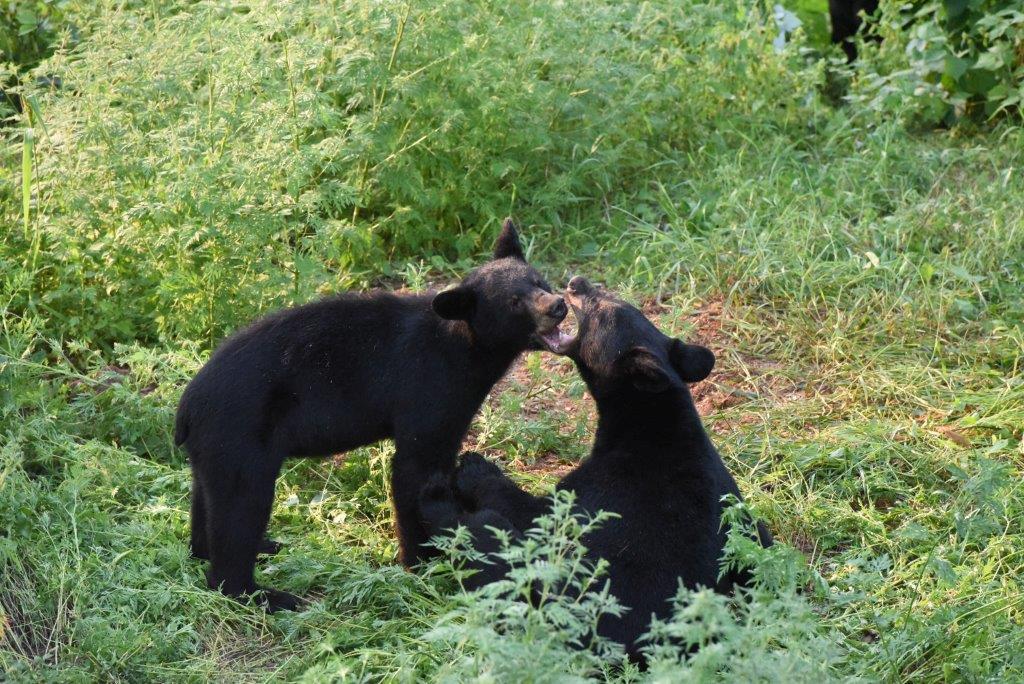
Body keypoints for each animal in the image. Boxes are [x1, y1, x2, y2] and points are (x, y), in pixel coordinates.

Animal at [175, 220, 568, 611]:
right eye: (514, 302)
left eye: (539, 281)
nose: (558, 305)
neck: (467, 346)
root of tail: (188, 406)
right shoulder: (429, 389)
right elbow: (414, 470)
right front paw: (423, 562)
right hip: (241, 437)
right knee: (242, 508)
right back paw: (263, 594)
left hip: (216, 448)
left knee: (209, 499)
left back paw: (234, 548)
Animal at [418, 276, 772, 661]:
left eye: (602, 310)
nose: (577, 282)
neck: (648, 420)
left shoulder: (608, 486)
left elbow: (541, 512)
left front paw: (474, 466)